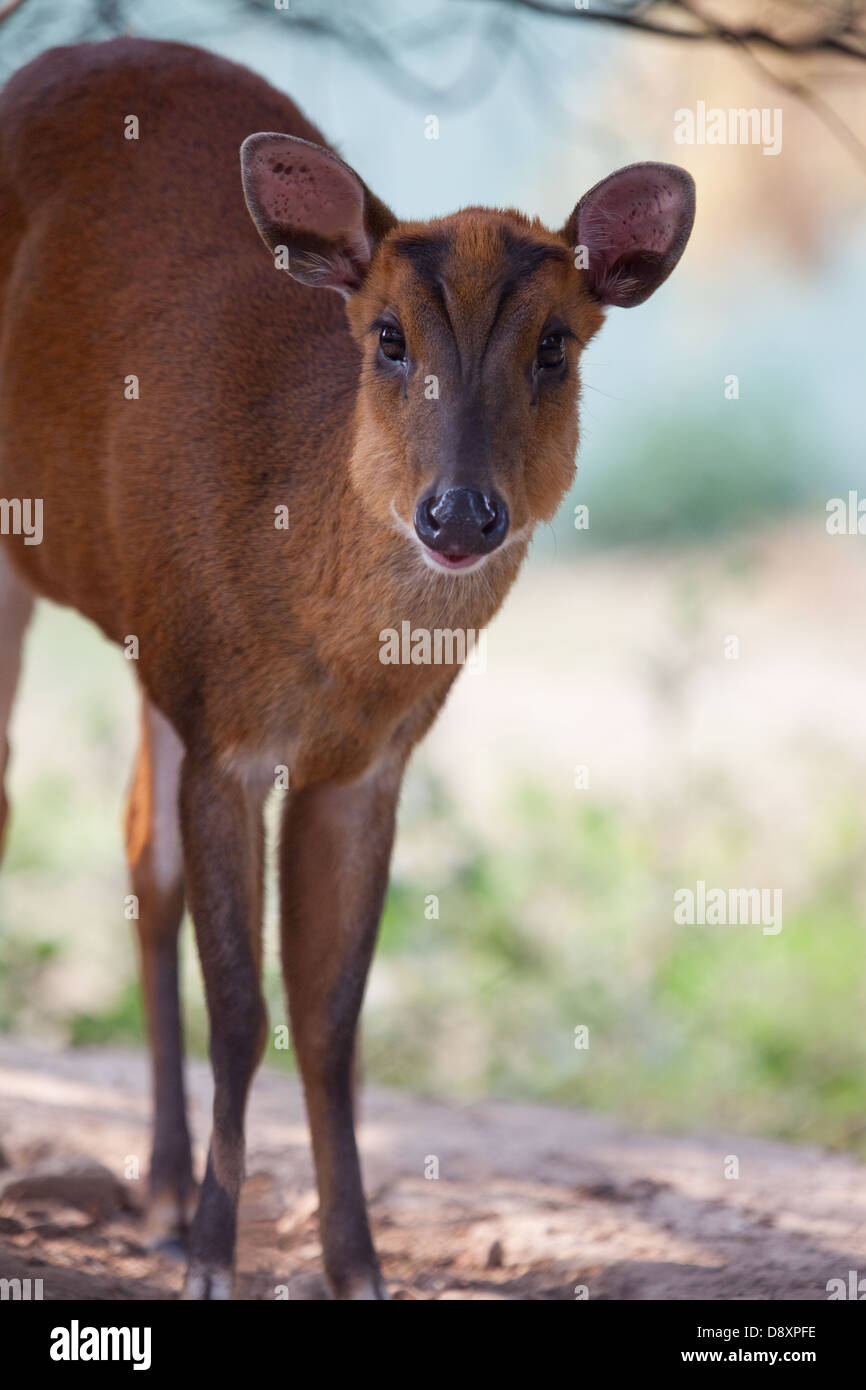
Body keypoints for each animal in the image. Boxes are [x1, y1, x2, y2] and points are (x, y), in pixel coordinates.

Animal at [0, 38, 695, 1295]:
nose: (459, 512)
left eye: (555, 344)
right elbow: (241, 1008)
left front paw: (351, 1261)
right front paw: (216, 1260)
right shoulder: (227, 734)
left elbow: (330, 1015)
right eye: (387, 336)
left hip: (147, 636)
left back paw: (159, 1190)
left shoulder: (363, 760)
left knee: (137, 850)